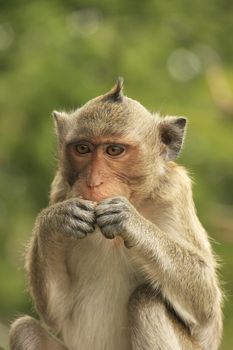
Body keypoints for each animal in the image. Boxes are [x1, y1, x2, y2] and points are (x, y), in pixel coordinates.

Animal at [9, 79, 222, 350]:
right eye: (82, 148)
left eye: (114, 150)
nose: (93, 181)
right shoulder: (60, 188)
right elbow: (55, 310)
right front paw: (56, 219)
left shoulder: (175, 191)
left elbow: (207, 314)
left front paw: (127, 220)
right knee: (24, 329)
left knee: (147, 301)